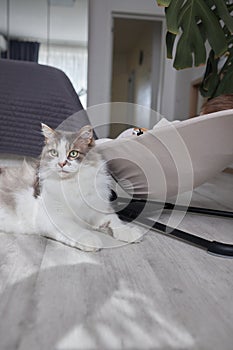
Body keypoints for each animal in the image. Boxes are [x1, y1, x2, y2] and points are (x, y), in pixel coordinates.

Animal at [0, 124, 142, 250]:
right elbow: (74, 229)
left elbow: (115, 221)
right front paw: (91, 241)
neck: (72, 183)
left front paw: (132, 233)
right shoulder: (52, 218)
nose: (62, 163)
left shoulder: (98, 210)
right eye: (54, 153)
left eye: (73, 153)